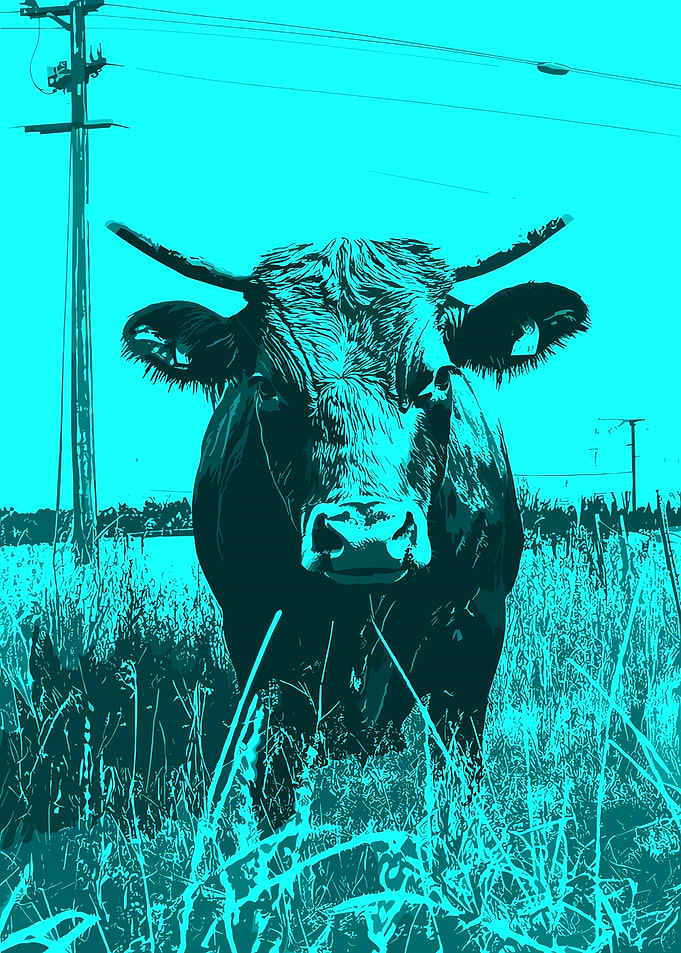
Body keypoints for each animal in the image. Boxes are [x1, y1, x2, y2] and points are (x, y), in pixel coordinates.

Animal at [109, 216, 588, 826]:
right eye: (268, 384)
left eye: (438, 376)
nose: (365, 537)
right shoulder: (259, 635)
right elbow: (275, 779)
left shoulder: (475, 629)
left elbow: (458, 776)